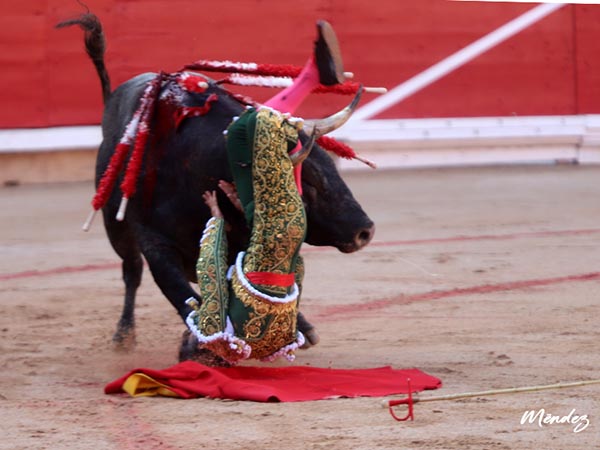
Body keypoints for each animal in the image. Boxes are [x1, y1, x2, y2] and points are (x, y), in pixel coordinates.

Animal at [64, 13, 376, 358]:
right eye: (308, 185)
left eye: (333, 171)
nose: (364, 231)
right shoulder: (154, 243)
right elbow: (178, 290)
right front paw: (197, 343)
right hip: (115, 226)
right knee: (131, 271)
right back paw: (124, 335)